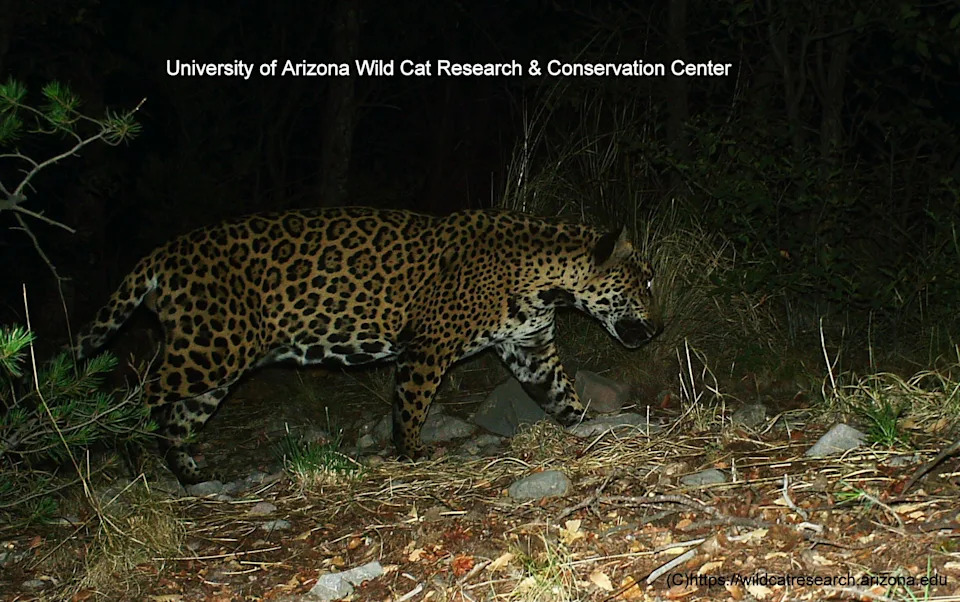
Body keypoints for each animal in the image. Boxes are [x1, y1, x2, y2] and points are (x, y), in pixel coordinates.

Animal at [72, 207, 662, 483]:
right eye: (645, 283)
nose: (659, 328)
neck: (547, 279)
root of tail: (164, 253)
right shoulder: (428, 346)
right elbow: (412, 404)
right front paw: (412, 453)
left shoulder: (531, 347)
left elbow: (561, 395)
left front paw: (588, 425)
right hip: (209, 348)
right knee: (134, 393)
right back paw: (125, 455)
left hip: (215, 362)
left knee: (178, 418)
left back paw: (194, 475)